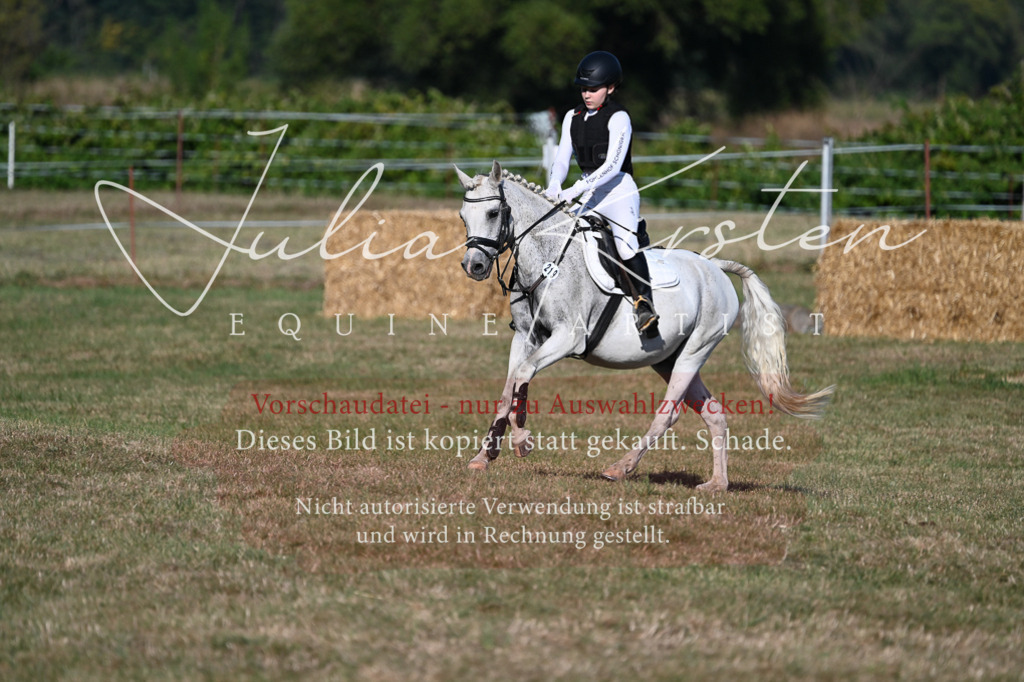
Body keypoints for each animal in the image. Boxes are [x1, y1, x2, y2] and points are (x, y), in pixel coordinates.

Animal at [455, 161, 833, 491]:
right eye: (462, 217)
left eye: (493, 213)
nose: (474, 266)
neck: (549, 259)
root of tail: (714, 266)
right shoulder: (525, 337)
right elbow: (508, 389)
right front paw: (484, 456)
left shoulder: (567, 338)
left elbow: (522, 375)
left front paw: (521, 441)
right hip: (667, 359)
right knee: (714, 414)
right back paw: (717, 484)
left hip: (694, 352)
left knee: (668, 414)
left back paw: (620, 467)